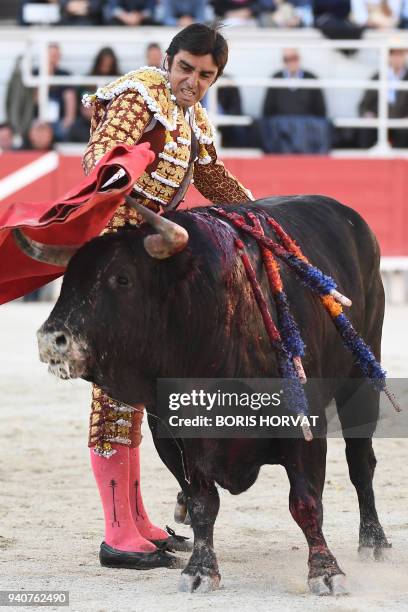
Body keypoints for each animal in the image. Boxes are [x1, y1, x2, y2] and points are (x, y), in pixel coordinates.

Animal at [16, 195, 392, 592]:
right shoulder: (180, 434)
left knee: (361, 462)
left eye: (122, 278)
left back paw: (374, 541)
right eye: (68, 279)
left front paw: (326, 571)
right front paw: (200, 569)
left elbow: (305, 502)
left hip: (362, 378)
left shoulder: (304, 427)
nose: (51, 340)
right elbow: (203, 503)